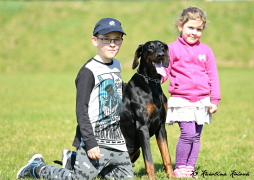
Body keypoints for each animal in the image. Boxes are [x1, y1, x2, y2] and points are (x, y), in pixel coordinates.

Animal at [120, 40, 175, 179]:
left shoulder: (161, 126)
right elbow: (149, 159)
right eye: (150, 47)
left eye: (162, 46)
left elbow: (166, 155)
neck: (152, 84)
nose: (161, 55)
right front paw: (152, 178)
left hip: (137, 151)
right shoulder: (142, 126)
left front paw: (172, 176)